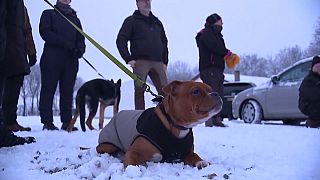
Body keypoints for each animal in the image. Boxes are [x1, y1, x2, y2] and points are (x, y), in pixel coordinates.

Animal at [96, 80, 224, 169]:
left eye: (210, 89)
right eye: (196, 91)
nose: (216, 93)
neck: (176, 126)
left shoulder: (188, 153)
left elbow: (194, 155)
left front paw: (201, 161)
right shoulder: (134, 151)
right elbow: (132, 159)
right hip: (107, 144)